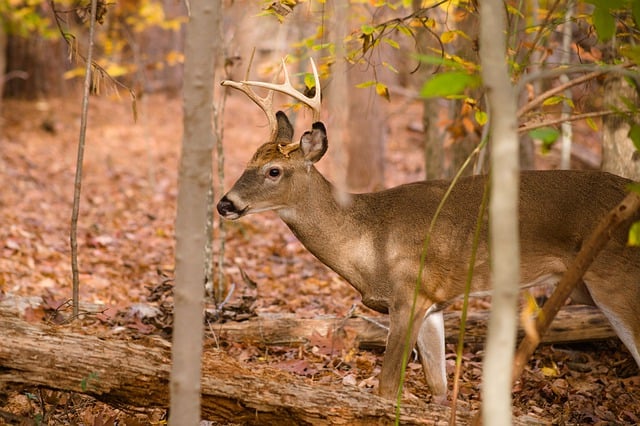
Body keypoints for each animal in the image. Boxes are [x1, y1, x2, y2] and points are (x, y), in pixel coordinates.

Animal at [219, 58, 640, 402]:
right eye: (248, 161)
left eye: (274, 171)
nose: (226, 203)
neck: (368, 241)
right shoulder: (434, 303)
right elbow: (437, 388)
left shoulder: (410, 293)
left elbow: (387, 389)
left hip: (617, 278)